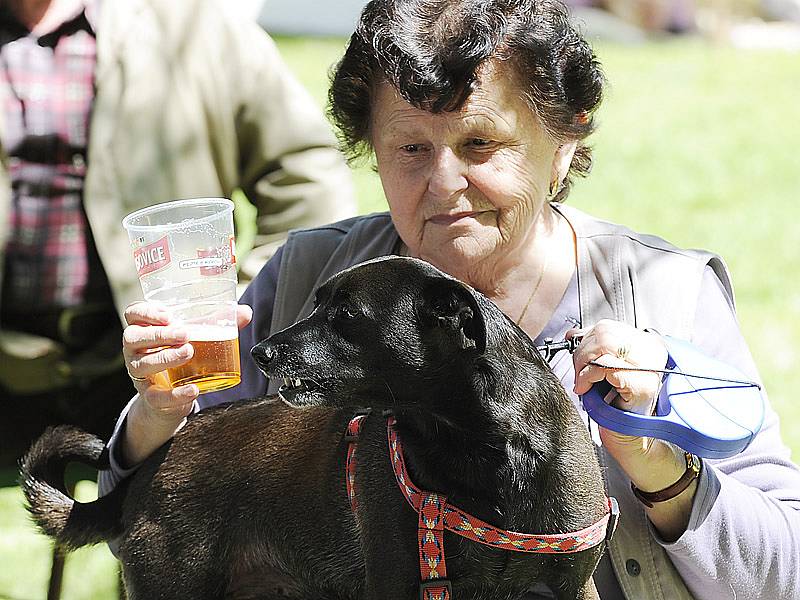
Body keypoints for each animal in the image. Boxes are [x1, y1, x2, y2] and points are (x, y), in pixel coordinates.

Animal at [23, 256, 612, 600]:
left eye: (346, 316)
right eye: (318, 304)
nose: (260, 352)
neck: (484, 452)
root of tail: (144, 474)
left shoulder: (574, 586)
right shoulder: (398, 584)